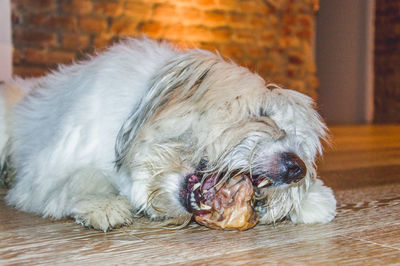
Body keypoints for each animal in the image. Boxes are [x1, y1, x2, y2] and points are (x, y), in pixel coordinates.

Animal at [0, 37, 338, 231]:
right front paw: (103, 204)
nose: (297, 168)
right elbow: (83, 177)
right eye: (262, 113)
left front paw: (313, 199)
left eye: (302, 147)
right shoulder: (43, 174)